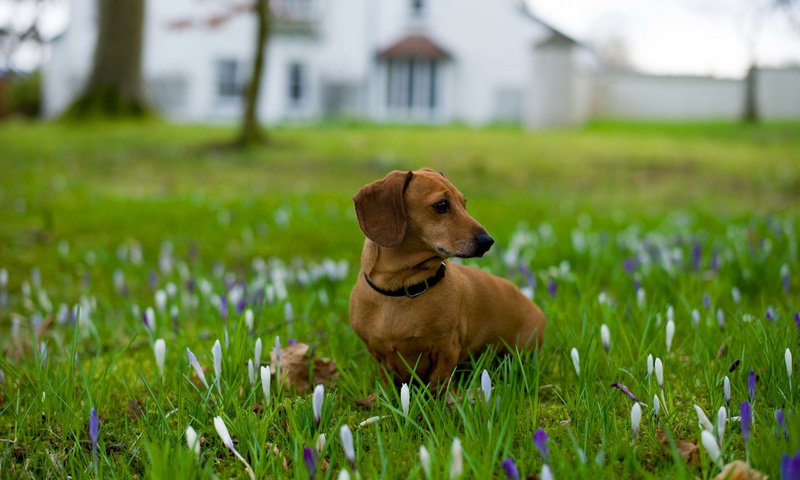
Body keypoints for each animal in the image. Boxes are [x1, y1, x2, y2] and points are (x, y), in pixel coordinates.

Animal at [346, 169, 548, 386]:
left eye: (464, 202)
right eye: (442, 205)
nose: (488, 241)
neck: (400, 291)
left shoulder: (446, 349)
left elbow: (439, 383)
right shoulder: (377, 353)